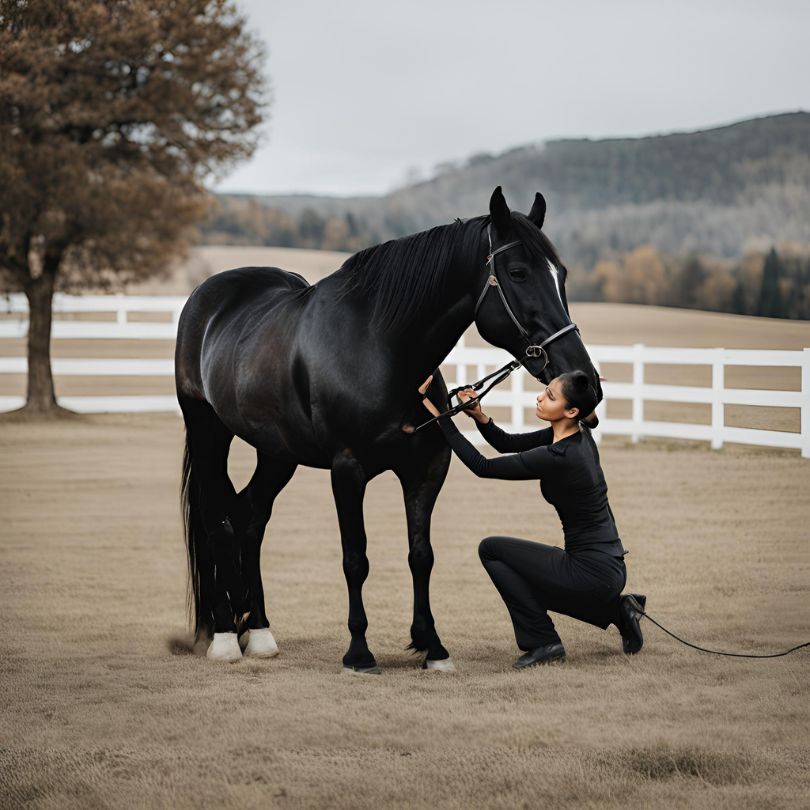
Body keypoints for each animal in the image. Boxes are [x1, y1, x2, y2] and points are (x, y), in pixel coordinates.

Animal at [175, 188, 600, 668]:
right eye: (518, 272)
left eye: (561, 274)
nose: (584, 380)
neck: (380, 348)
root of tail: (207, 296)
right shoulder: (347, 470)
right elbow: (355, 558)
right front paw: (359, 652)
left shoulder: (426, 470)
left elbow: (421, 556)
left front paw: (432, 645)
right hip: (208, 432)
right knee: (216, 522)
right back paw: (226, 636)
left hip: (277, 452)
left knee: (251, 516)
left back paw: (261, 631)